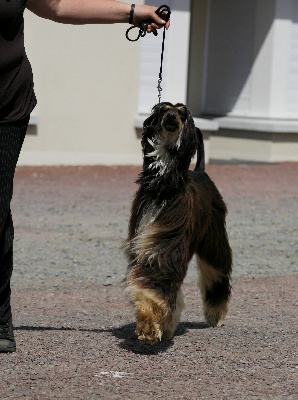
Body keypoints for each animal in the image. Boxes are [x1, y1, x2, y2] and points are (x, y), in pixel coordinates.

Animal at [124, 102, 233, 344]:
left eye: (183, 112)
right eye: (164, 109)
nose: (172, 116)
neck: (164, 185)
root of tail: (200, 171)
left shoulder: (166, 244)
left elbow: (155, 284)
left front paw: (150, 326)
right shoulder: (147, 244)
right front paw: (153, 323)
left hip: (213, 237)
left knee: (216, 271)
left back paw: (216, 313)